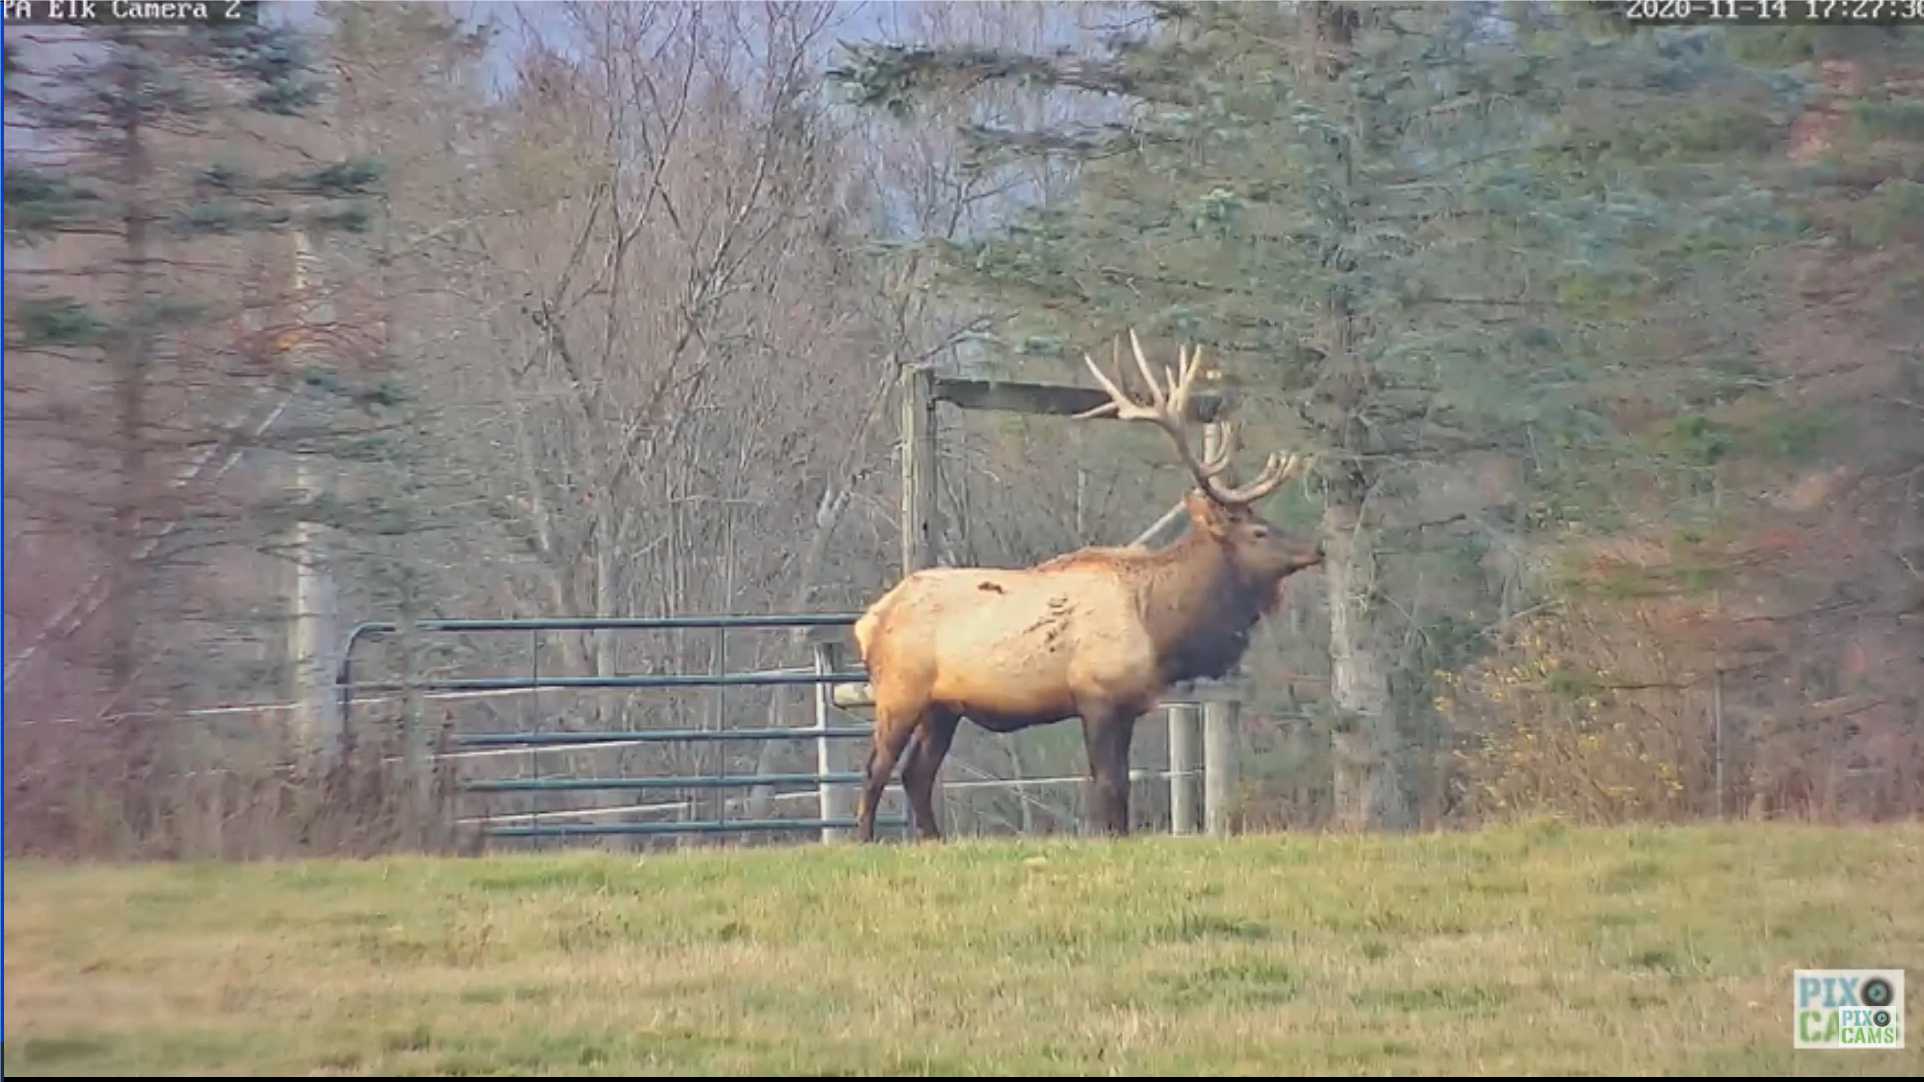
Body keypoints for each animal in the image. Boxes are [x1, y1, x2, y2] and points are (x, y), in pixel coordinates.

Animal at [858, 333, 1323, 839]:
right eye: (1258, 532)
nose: (1317, 549)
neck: (1161, 627)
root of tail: (868, 621)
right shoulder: (1096, 694)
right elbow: (1109, 784)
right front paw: (1108, 835)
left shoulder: (1128, 704)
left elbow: (1119, 786)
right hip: (900, 690)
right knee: (877, 769)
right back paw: (864, 839)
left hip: (944, 707)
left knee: (916, 773)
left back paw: (933, 841)